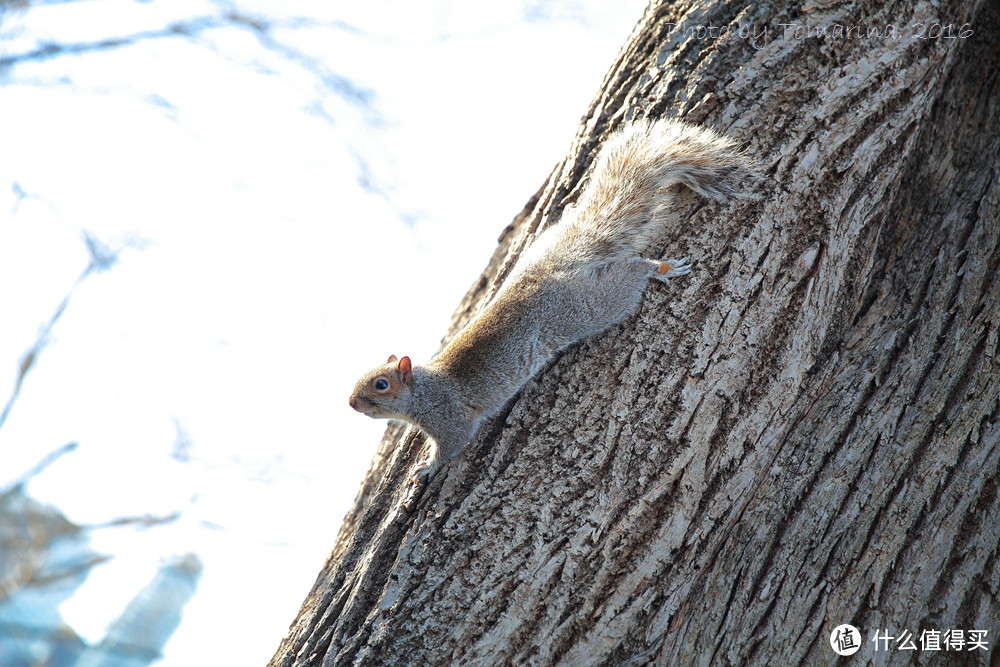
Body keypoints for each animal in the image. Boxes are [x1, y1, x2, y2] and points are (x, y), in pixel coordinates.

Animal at [348, 120, 748, 482]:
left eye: (381, 384)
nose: (351, 403)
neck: (424, 389)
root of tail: (545, 274)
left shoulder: (449, 419)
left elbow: (452, 445)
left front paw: (427, 469)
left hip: (585, 309)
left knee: (629, 276)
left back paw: (657, 267)